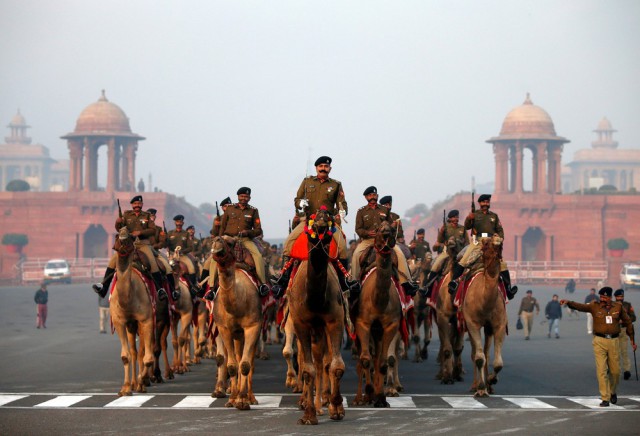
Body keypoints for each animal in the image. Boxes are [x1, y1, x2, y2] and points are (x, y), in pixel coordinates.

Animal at [109, 227, 156, 396]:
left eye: (129, 236)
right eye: (117, 236)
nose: (123, 235)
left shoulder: (146, 319)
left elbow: (148, 357)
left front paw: (142, 381)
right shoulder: (119, 321)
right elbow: (125, 355)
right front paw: (125, 388)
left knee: (142, 351)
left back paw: (140, 383)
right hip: (131, 325)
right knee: (134, 352)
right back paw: (134, 383)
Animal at [209, 235, 262, 408]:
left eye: (230, 242)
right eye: (215, 239)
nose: (217, 240)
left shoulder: (253, 326)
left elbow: (246, 364)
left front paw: (243, 400)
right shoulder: (223, 328)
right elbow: (232, 365)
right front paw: (232, 399)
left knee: (249, 361)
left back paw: (251, 397)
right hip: (235, 333)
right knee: (237, 358)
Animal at [288, 208, 344, 426]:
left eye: (329, 221)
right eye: (311, 222)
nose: (320, 222)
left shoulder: (334, 321)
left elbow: (336, 365)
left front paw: (336, 407)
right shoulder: (301, 324)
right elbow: (307, 369)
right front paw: (309, 415)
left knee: (322, 361)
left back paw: (323, 404)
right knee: (313, 361)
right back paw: (310, 403)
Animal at [352, 221, 402, 408]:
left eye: (393, 229)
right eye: (379, 230)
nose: (386, 233)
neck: (378, 301)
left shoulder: (390, 325)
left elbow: (382, 362)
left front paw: (381, 397)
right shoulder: (363, 323)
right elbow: (365, 360)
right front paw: (368, 394)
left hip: (378, 331)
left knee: (377, 357)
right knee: (362, 360)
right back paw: (360, 398)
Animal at [462, 235, 508, 398]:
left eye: (501, 245)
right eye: (486, 244)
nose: (497, 240)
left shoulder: (499, 324)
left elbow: (498, 363)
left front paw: (491, 380)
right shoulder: (472, 323)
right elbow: (479, 357)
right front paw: (481, 388)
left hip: (488, 328)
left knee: (487, 352)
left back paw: (489, 386)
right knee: (475, 353)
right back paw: (475, 385)